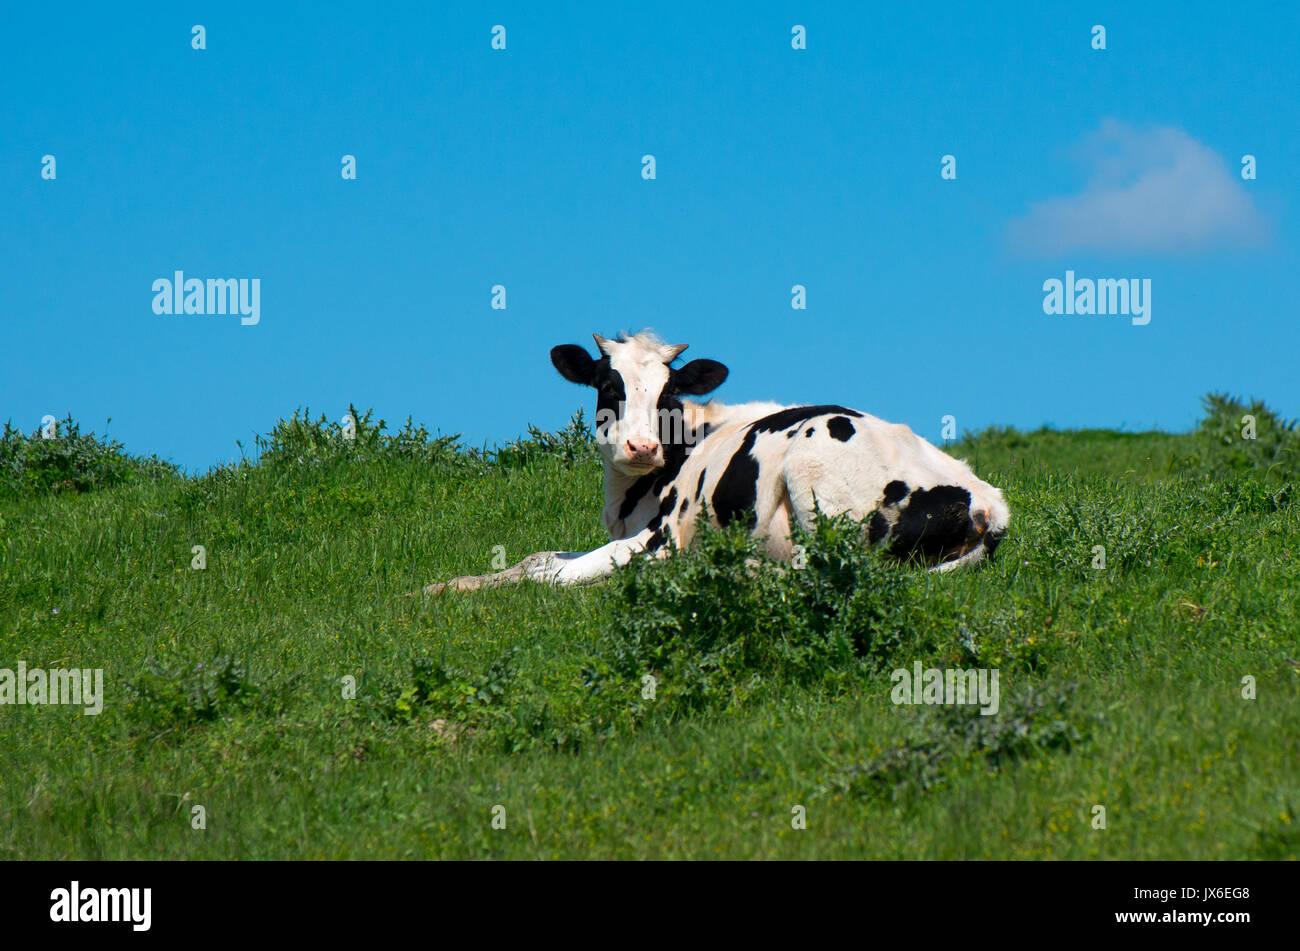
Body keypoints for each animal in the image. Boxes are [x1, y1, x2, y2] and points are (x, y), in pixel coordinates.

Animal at [421, 329, 1008, 589]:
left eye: (669, 394)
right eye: (608, 387)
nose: (642, 447)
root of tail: (990, 501)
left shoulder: (659, 537)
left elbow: (556, 576)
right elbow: (536, 559)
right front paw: (446, 585)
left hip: (816, 468)